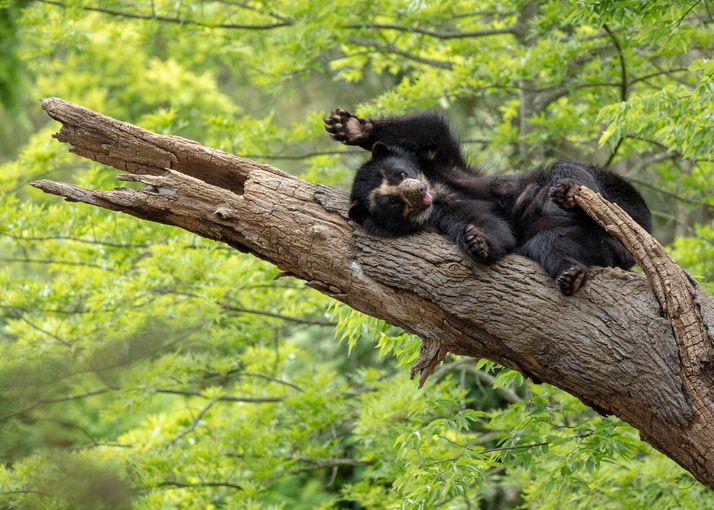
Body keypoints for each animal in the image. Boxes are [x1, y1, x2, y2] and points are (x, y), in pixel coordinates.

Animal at [324, 108, 652, 295]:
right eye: (392, 202)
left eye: (400, 173)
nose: (418, 191)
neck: (438, 190)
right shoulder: (442, 215)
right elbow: (492, 228)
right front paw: (476, 242)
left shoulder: (441, 164)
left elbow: (429, 129)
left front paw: (347, 126)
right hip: (588, 243)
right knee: (550, 243)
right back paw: (570, 276)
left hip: (624, 198)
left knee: (569, 169)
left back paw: (572, 193)